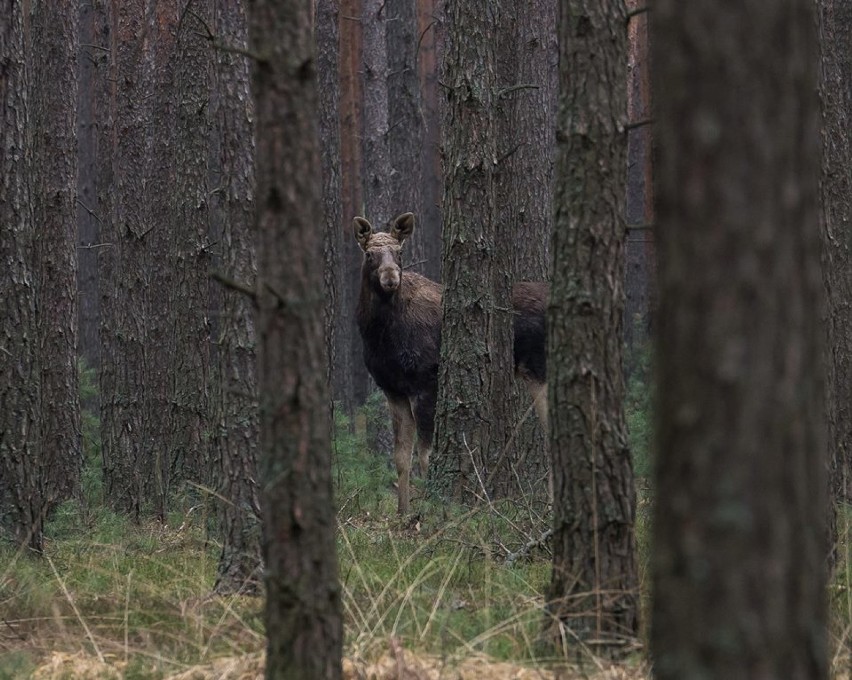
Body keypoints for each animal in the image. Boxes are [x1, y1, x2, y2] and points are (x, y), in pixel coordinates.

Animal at [352, 214, 544, 516]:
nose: (390, 278)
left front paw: (433, 507)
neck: (378, 334)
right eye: (369, 254)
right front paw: (402, 512)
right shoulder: (393, 390)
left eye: (400, 252)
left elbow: (425, 455)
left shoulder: (426, 383)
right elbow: (401, 458)